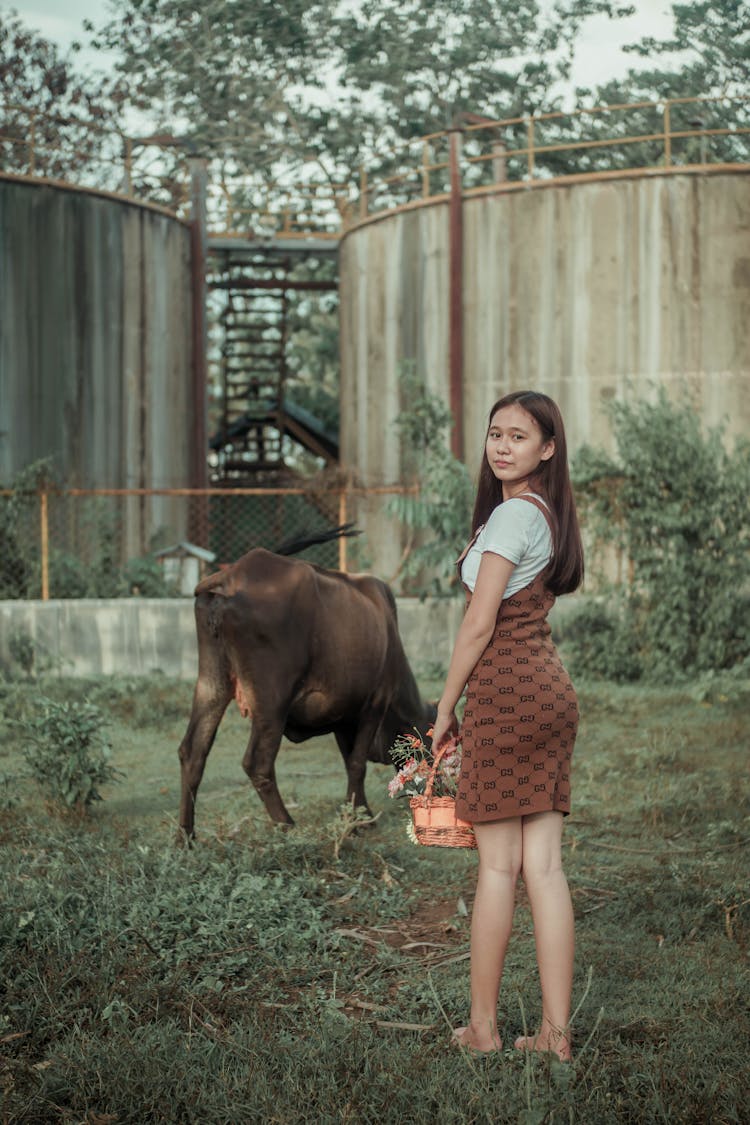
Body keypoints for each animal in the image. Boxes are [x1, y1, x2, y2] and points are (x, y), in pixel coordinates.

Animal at [178, 549, 434, 841]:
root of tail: (233, 574)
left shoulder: (344, 718)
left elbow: (350, 763)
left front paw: (357, 814)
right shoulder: (375, 703)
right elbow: (357, 763)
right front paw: (359, 820)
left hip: (212, 684)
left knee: (193, 752)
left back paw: (185, 836)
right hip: (272, 703)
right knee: (257, 763)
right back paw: (287, 824)